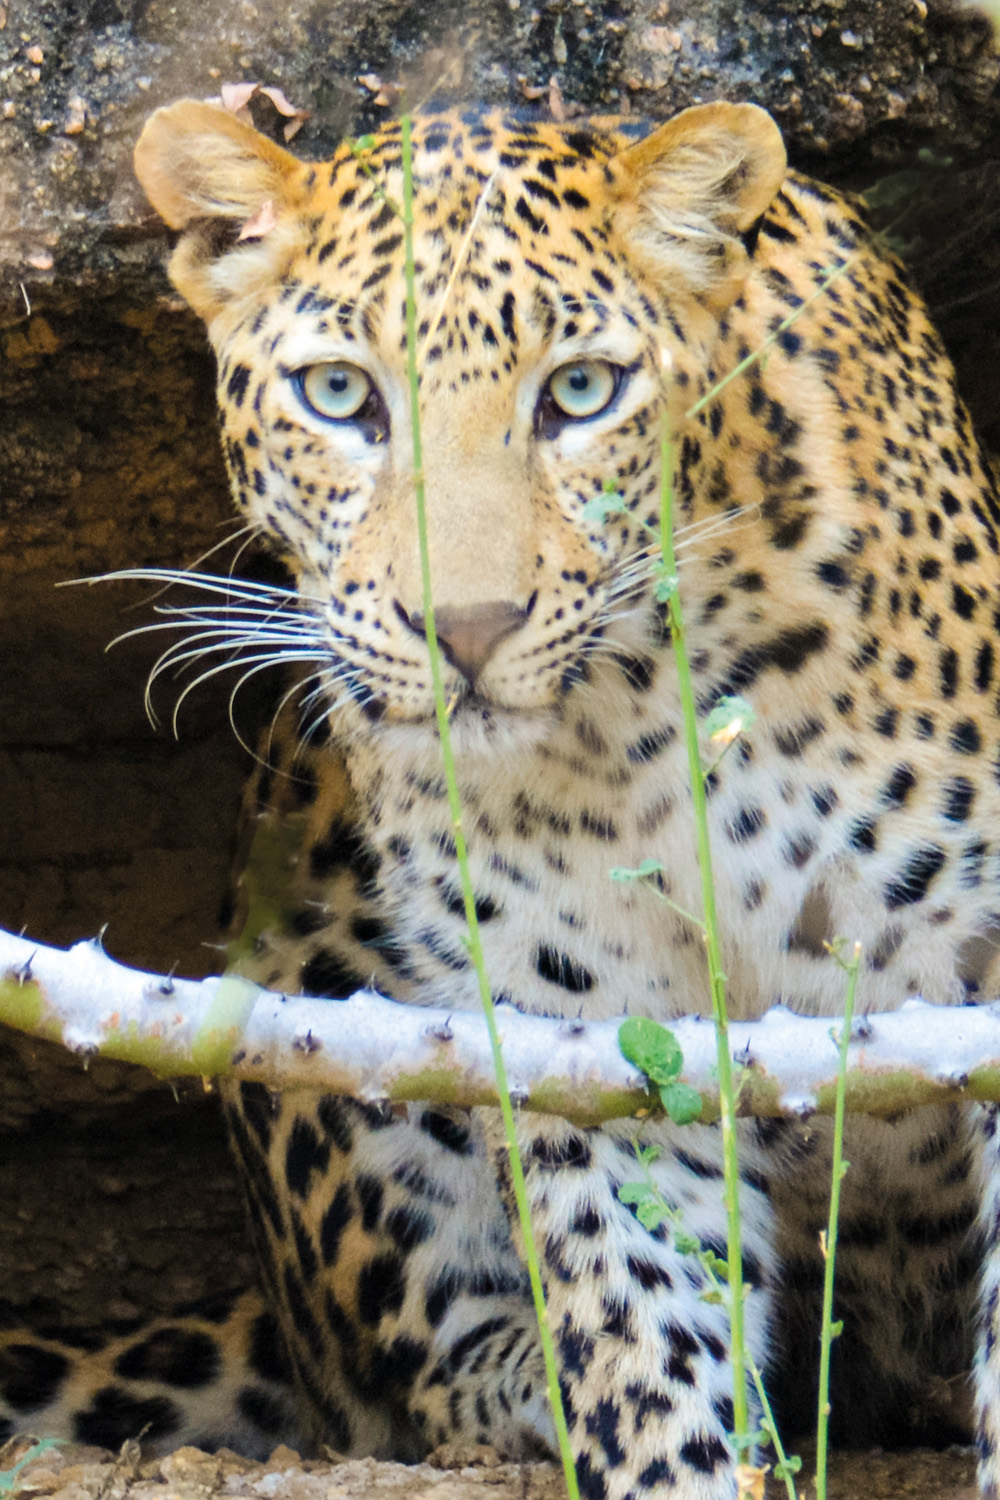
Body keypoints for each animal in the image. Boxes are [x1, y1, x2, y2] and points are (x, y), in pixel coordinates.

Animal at [5, 96, 1000, 1500]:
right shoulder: (588, 1042)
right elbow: (642, 1337)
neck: (640, 731)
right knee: (407, 1384)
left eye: (579, 392)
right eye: (339, 395)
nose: (467, 629)